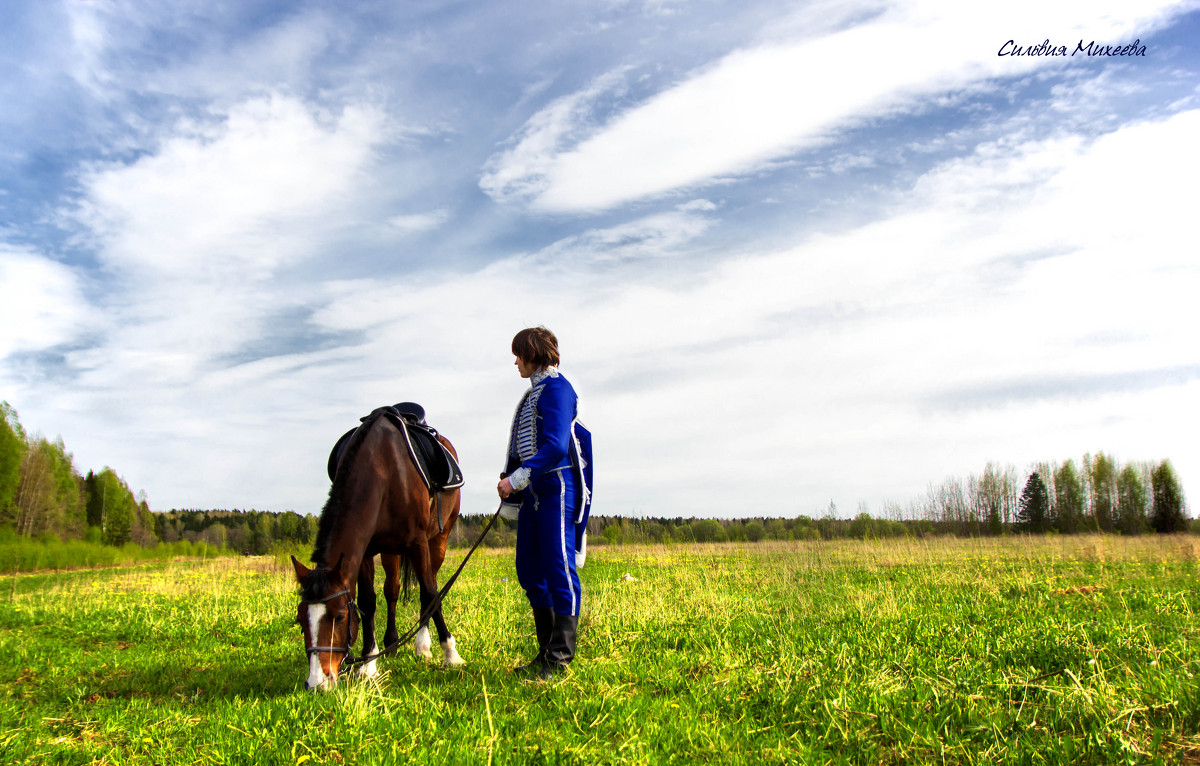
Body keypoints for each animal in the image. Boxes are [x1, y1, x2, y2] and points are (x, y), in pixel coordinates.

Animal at [290, 410, 463, 691]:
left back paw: (422, 644)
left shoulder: (418, 543)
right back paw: (391, 643)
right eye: (301, 620)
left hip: (439, 539)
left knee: (429, 588)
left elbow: (431, 592)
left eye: (340, 617)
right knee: (392, 590)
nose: (317, 682)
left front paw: (451, 653)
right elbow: (367, 602)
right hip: (391, 550)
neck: (384, 469)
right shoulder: (364, 552)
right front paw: (369, 664)